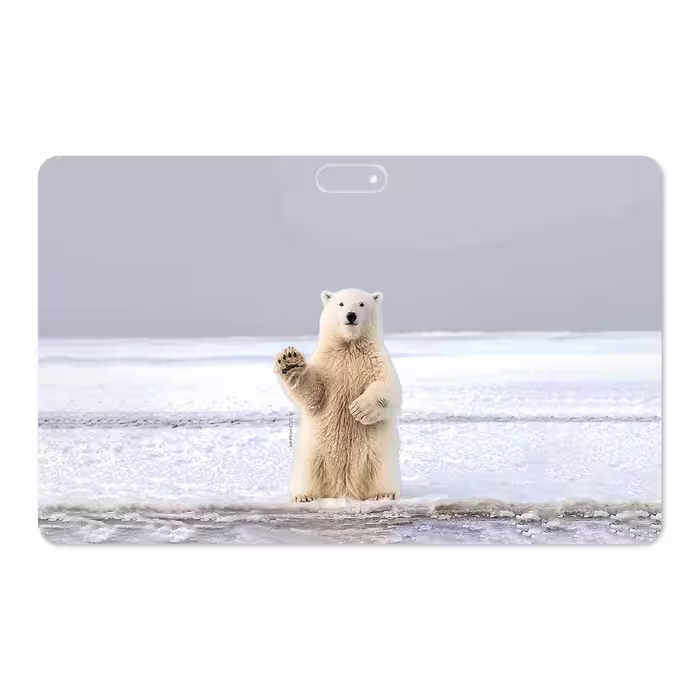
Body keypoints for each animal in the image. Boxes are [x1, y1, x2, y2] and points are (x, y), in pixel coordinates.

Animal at [274, 288, 401, 502]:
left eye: (361, 304)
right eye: (341, 304)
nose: (351, 315)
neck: (349, 346)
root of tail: (344, 489)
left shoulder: (376, 360)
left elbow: (389, 388)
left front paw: (359, 409)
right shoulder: (328, 364)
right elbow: (314, 393)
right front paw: (290, 362)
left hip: (380, 454)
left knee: (381, 471)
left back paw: (384, 494)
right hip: (313, 453)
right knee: (307, 473)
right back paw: (304, 496)